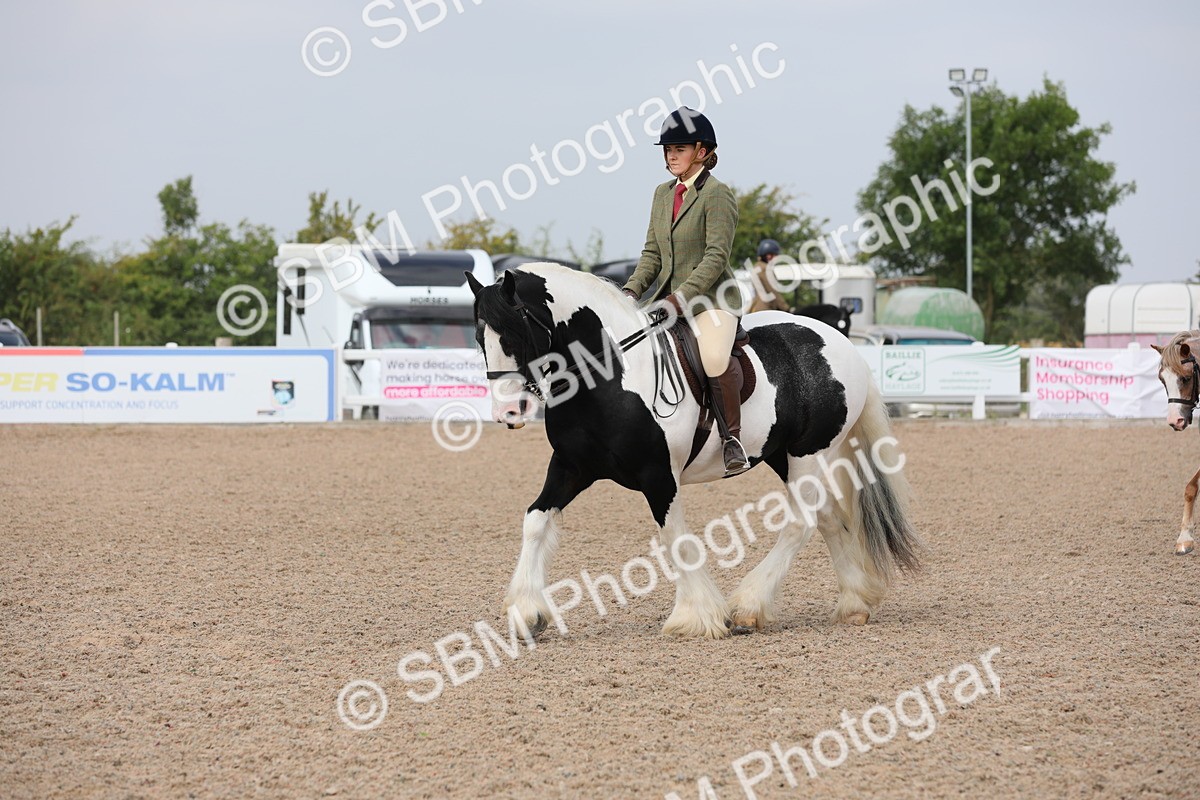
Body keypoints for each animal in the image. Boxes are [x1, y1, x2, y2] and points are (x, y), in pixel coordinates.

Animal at [467, 263, 921, 639]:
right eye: (478, 336)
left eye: (514, 332)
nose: (507, 412)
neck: (611, 377)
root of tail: (842, 344)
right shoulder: (571, 467)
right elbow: (535, 520)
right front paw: (527, 613)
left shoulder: (658, 476)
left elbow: (675, 538)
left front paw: (695, 616)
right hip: (783, 456)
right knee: (826, 519)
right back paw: (855, 603)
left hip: (808, 453)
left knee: (801, 522)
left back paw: (748, 607)